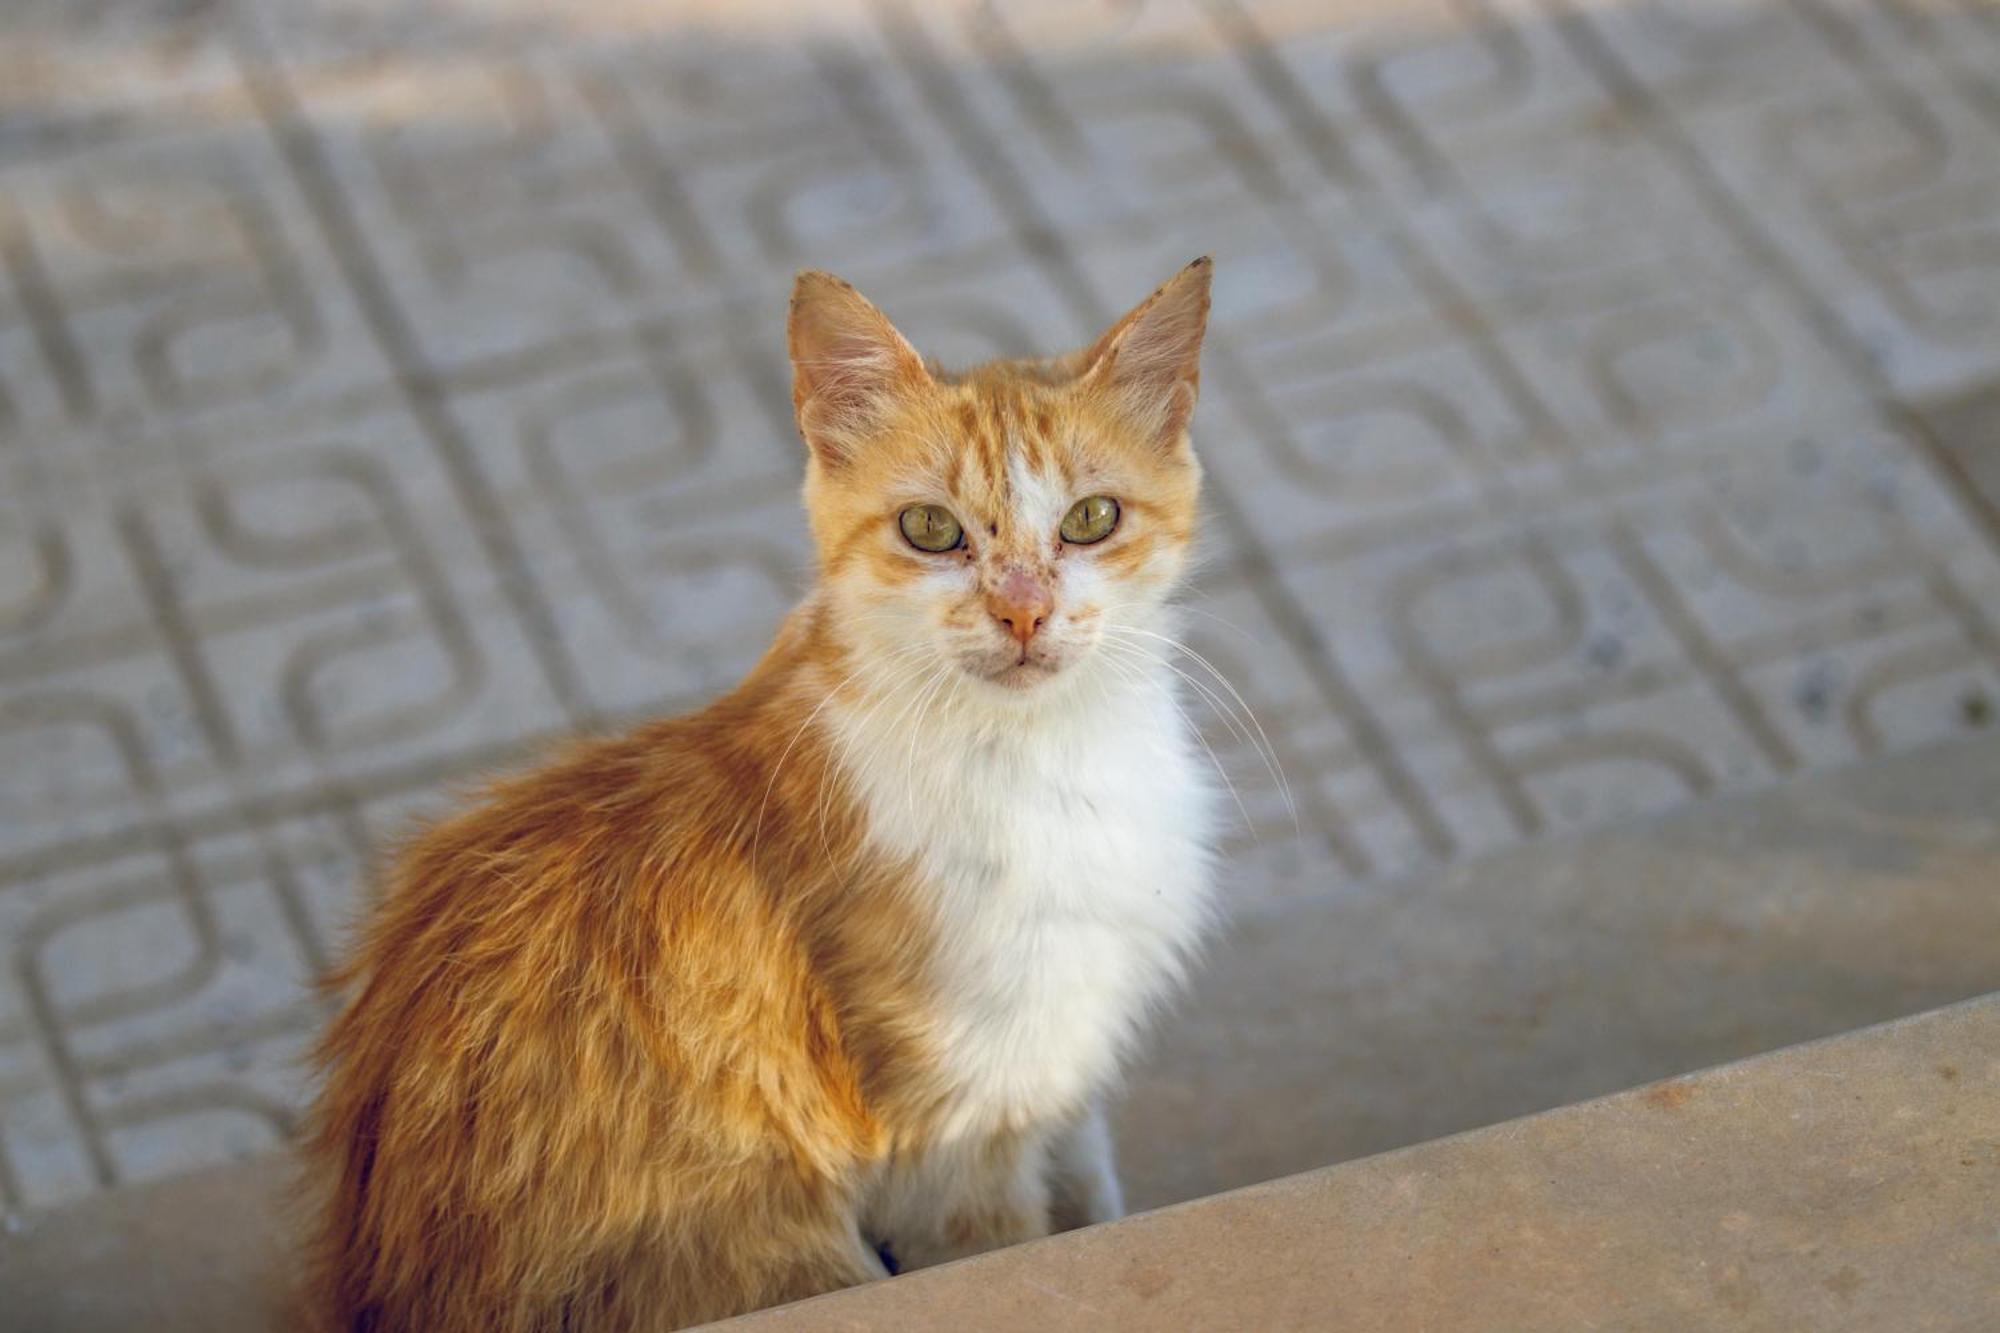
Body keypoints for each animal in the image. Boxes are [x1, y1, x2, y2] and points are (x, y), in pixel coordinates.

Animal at [300, 260, 1216, 1328]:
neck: (1045, 755)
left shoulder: (1066, 1049)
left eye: (1090, 519)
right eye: (931, 530)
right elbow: (1014, 1248)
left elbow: (1089, 1175)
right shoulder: (955, 1140)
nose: (1023, 610)